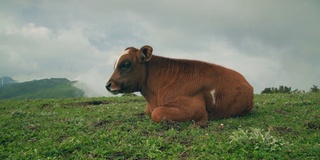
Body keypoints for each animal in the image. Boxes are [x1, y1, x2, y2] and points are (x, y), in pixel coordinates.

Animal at [106, 45, 254, 126]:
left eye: (125, 64)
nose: (108, 85)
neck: (154, 96)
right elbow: (149, 111)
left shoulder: (195, 109)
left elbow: (156, 113)